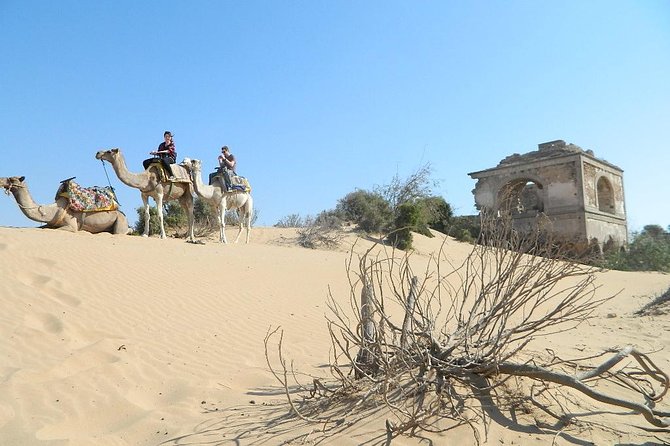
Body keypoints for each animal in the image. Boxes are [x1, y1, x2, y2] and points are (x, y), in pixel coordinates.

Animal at [0, 176, 129, 234]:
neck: (53, 210)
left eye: (12, 179)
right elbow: (41, 228)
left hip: (120, 221)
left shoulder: (71, 225)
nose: (1, 180)